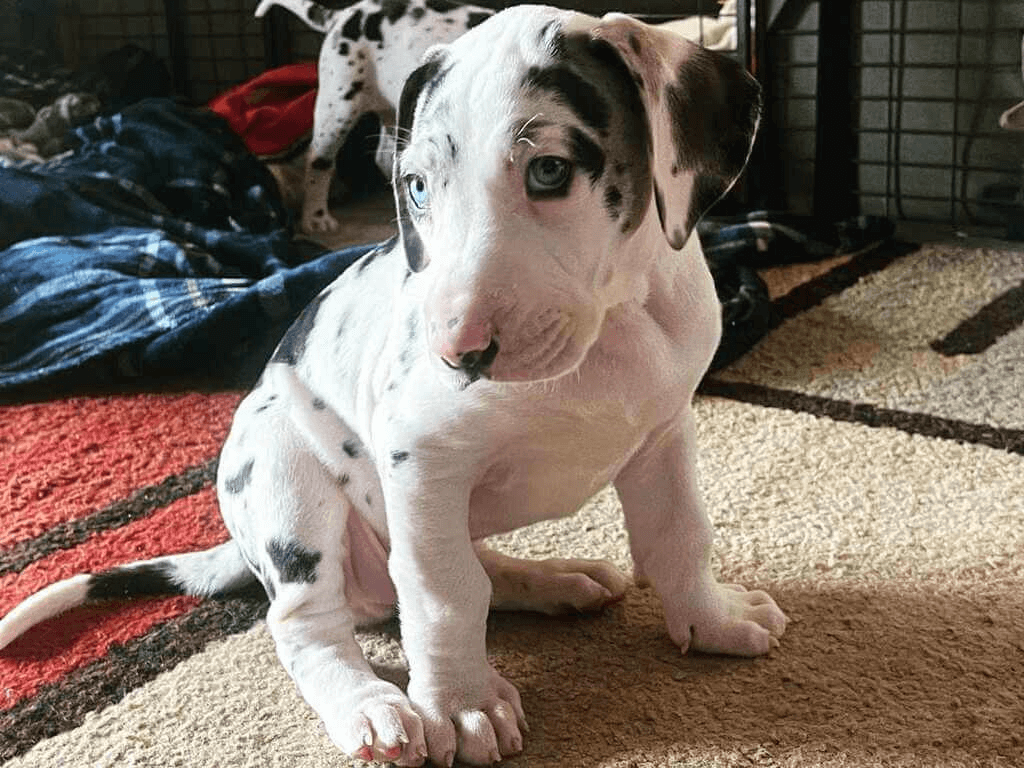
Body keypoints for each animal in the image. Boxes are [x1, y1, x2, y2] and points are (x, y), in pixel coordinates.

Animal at [0, 7, 786, 768]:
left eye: (549, 170)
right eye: (417, 186)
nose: (457, 351)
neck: (609, 330)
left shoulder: (663, 433)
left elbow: (677, 534)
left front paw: (711, 620)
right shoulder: (424, 458)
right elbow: (443, 592)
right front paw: (464, 704)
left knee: (465, 567)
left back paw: (556, 580)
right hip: (287, 481)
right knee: (309, 624)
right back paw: (370, 705)